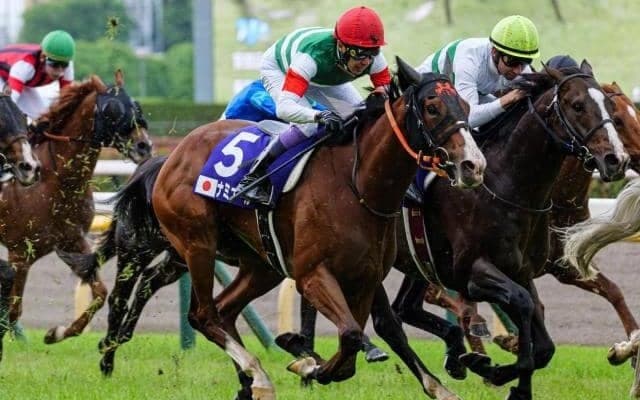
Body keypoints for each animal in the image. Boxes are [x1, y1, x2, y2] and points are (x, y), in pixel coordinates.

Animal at [0, 70, 153, 364]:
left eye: (136, 106)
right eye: (111, 110)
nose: (144, 145)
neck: (54, 181)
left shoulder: (72, 242)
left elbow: (100, 293)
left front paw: (57, 332)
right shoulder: (20, 252)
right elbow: (13, 310)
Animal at [148, 58, 485, 399]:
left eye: (467, 105)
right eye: (432, 107)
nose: (473, 165)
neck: (357, 186)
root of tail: (177, 151)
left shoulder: (365, 277)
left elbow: (355, 348)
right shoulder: (312, 274)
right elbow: (351, 334)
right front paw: (307, 364)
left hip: (262, 264)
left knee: (224, 311)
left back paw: (251, 382)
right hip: (197, 243)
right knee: (203, 315)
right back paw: (259, 376)